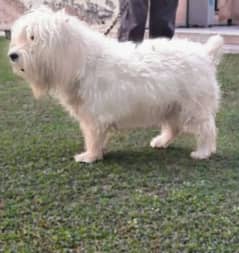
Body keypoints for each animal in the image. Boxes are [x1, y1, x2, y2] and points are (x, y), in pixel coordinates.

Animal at [8, 7, 223, 163]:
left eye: (33, 37)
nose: (12, 55)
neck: (82, 62)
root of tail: (205, 53)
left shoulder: (94, 116)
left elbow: (93, 136)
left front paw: (90, 156)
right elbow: (96, 136)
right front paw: (96, 153)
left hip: (193, 107)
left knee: (206, 128)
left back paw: (203, 152)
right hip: (172, 106)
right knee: (174, 128)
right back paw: (161, 142)